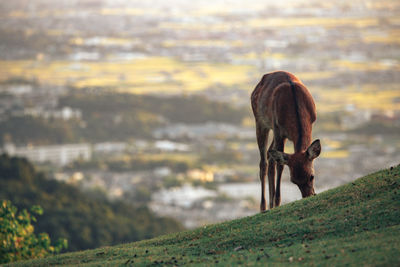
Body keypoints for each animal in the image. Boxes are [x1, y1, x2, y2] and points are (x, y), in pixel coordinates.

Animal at [250, 70, 322, 213]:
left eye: (312, 176)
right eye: (294, 181)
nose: (309, 196)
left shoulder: (311, 121)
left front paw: (275, 202)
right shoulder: (278, 130)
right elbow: (281, 165)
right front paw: (278, 202)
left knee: (270, 155)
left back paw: (271, 204)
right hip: (260, 121)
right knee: (264, 162)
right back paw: (264, 206)